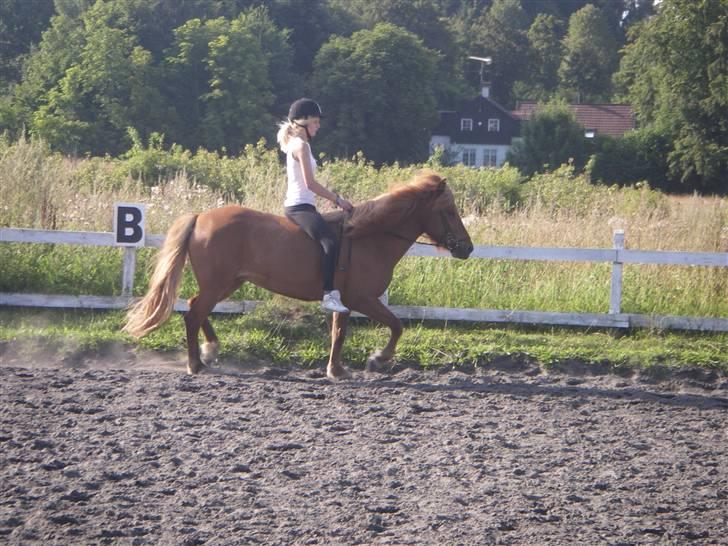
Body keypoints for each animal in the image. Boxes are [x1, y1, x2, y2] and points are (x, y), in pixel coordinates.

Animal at [122, 169, 474, 374]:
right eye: (448, 211)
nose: (467, 248)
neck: (369, 237)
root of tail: (200, 217)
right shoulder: (363, 299)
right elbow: (397, 325)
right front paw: (378, 358)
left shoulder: (346, 301)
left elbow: (339, 333)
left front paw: (336, 370)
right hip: (219, 283)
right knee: (194, 313)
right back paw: (195, 363)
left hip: (227, 283)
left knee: (197, 308)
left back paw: (210, 350)